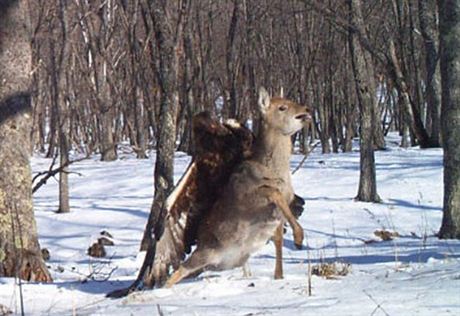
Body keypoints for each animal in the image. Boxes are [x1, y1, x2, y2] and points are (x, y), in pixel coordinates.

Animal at [164, 87, 310, 286]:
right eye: (282, 107)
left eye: (290, 100)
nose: (307, 110)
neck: (275, 170)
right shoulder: (249, 197)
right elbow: (272, 192)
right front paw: (298, 239)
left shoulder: (282, 209)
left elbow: (279, 239)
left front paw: (279, 275)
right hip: (205, 253)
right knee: (179, 270)